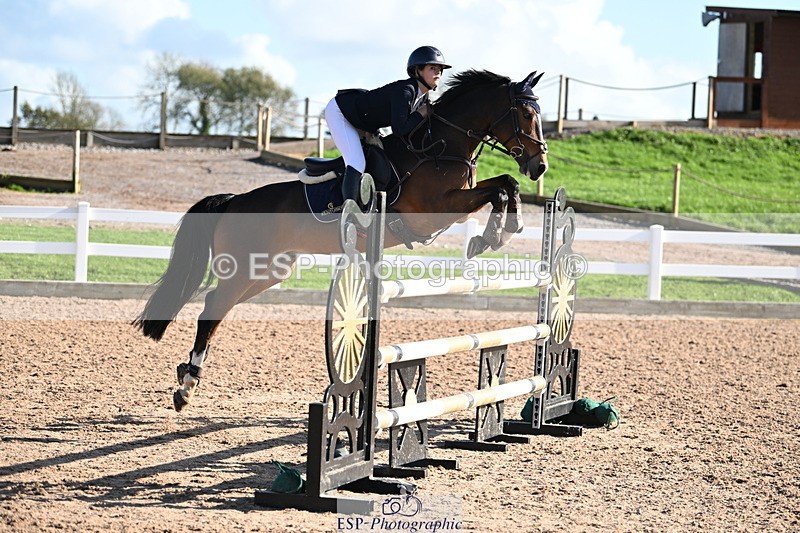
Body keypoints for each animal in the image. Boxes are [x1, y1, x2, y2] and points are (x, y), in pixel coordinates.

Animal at [133, 69, 549, 411]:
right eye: (527, 115)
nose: (539, 165)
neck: (440, 146)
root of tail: (235, 201)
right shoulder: (436, 210)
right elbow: (499, 188)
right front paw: (492, 236)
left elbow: (504, 185)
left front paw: (501, 232)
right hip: (243, 270)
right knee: (212, 308)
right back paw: (186, 385)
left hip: (268, 271)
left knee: (216, 306)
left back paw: (186, 378)